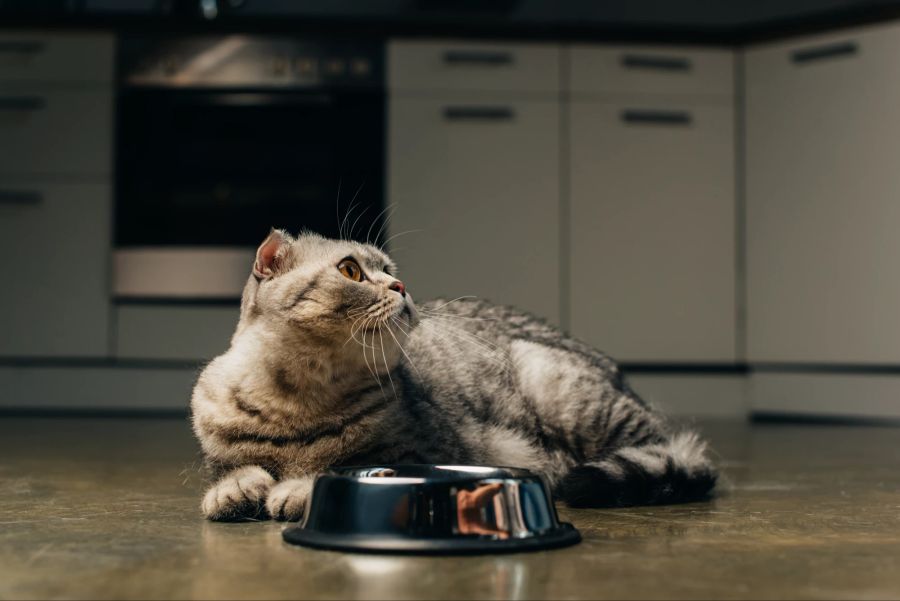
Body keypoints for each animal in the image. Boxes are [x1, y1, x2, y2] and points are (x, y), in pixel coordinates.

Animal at [190, 230, 716, 520]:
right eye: (351, 271)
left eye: (390, 269)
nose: (401, 286)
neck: (300, 400)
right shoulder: (217, 442)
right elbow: (230, 468)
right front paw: (236, 489)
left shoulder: (419, 453)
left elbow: (342, 464)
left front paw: (295, 487)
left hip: (559, 386)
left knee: (682, 454)